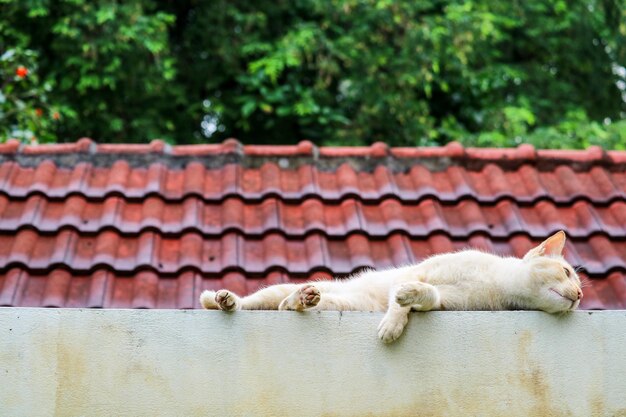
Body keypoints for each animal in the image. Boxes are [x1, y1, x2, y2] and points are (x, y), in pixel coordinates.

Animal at [199, 231, 580, 342]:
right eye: (565, 272)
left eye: (580, 288)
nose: (579, 296)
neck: (495, 282)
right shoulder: (423, 271)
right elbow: (402, 297)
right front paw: (393, 323)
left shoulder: (444, 301)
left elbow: (422, 296)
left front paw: (405, 303)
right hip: (268, 293)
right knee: (250, 303)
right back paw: (226, 298)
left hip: (340, 304)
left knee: (287, 306)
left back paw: (303, 299)